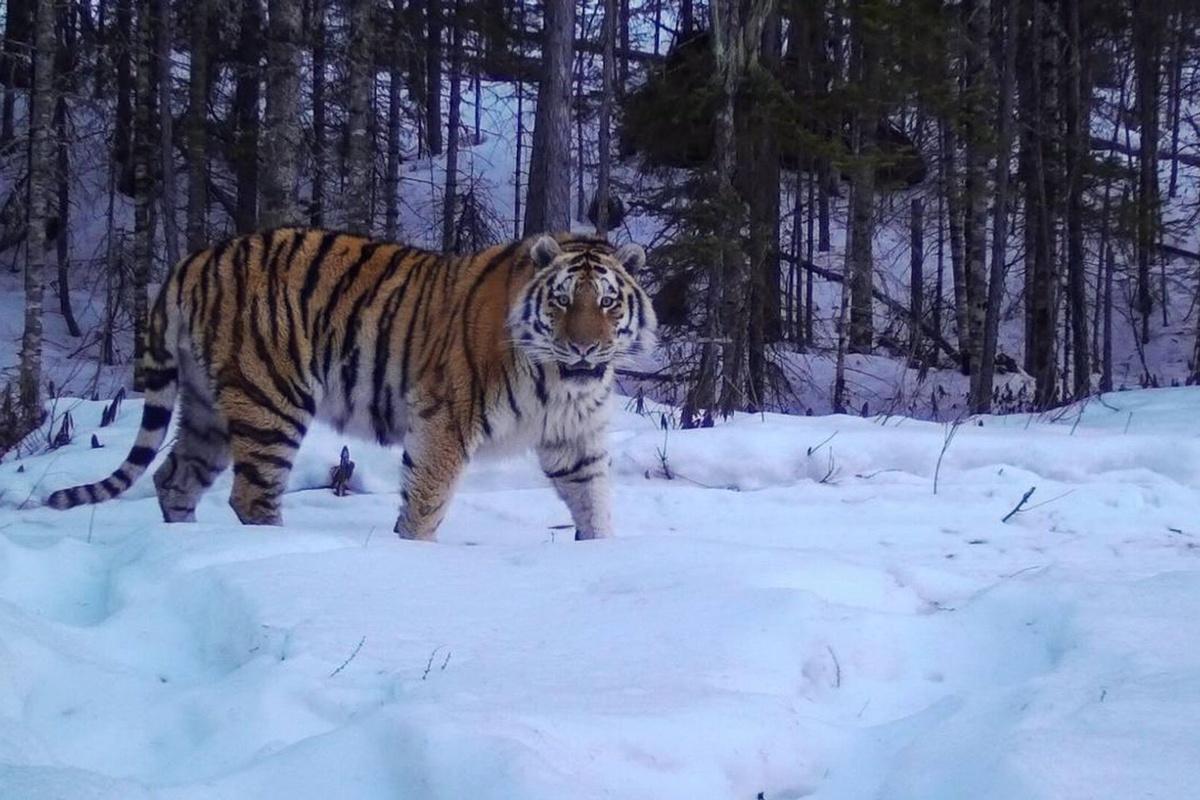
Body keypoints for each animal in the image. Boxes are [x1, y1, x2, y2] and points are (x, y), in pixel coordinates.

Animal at [47, 229, 657, 541]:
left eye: (607, 302)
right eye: (561, 301)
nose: (586, 348)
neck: (558, 382)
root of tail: (194, 258)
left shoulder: (574, 439)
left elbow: (594, 503)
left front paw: (596, 551)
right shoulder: (444, 421)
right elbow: (426, 503)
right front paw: (413, 551)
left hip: (208, 409)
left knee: (174, 477)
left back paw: (184, 545)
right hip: (271, 400)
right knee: (251, 494)